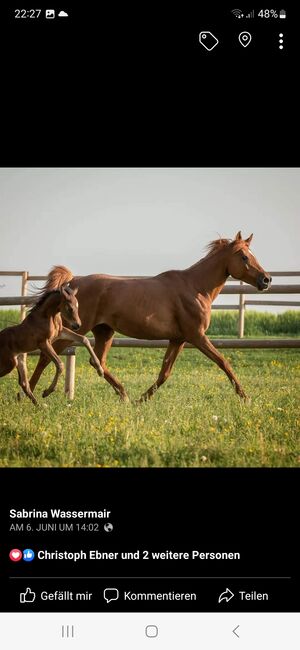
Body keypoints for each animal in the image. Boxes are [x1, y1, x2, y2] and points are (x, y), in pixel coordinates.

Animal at [27, 233, 272, 400]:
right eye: (244, 257)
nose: (266, 280)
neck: (195, 288)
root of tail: (72, 282)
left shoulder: (178, 339)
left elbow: (165, 372)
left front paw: (141, 400)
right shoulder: (197, 336)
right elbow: (223, 362)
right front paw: (245, 397)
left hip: (104, 331)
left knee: (98, 362)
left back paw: (125, 395)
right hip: (75, 328)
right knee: (46, 357)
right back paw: (30, 394)